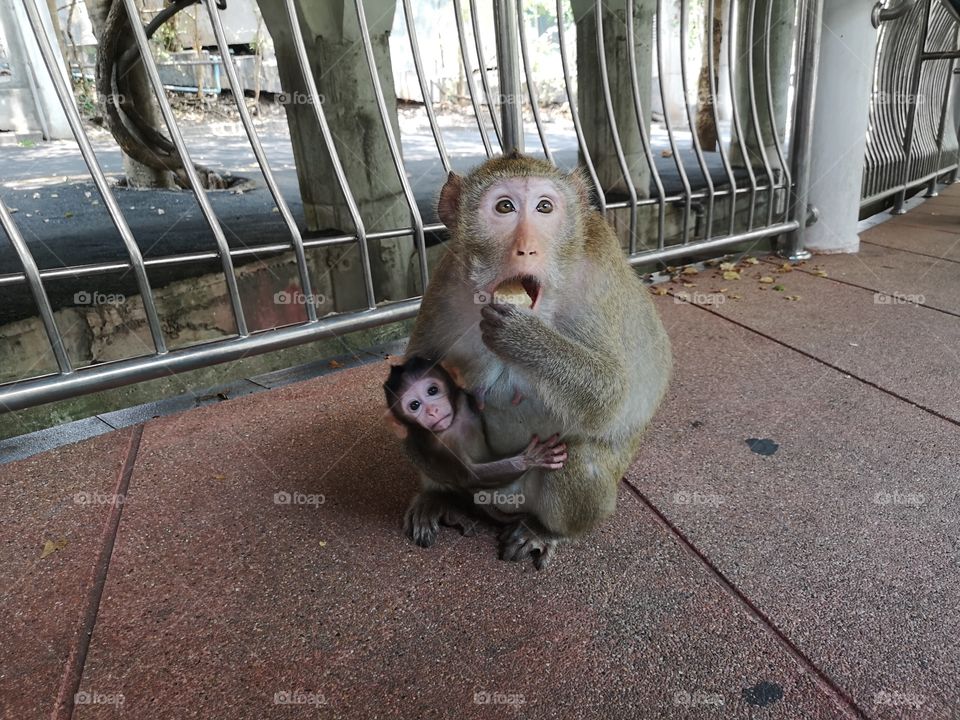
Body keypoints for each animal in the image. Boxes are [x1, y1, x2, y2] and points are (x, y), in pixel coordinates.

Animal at [384, 357, 568, 541]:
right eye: (414, 405)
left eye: (432, 390)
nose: (432, 411)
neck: (453, 423)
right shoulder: (438, 445)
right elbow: (469, 476)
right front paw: (530, 459)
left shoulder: (463, 400)